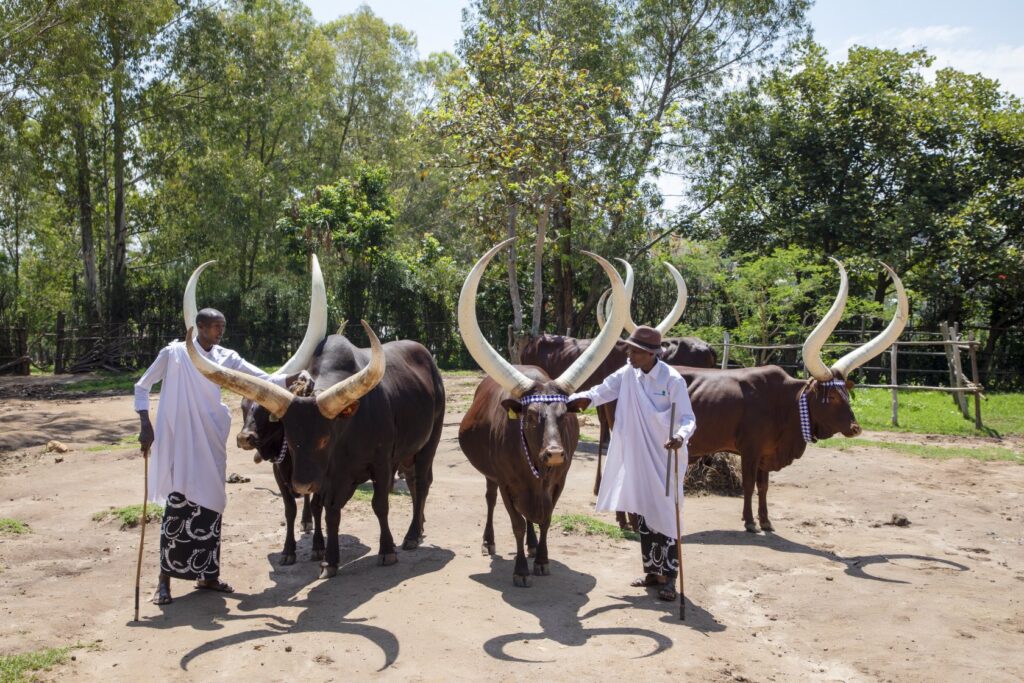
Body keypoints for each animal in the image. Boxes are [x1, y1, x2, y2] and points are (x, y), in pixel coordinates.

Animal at [186, 266, 442, 577]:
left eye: (324, 438)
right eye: (291, 438)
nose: (303, 484)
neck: (349, 429)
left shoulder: (381, 463)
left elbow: (379, 505)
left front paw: (387, 550)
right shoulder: (324, 474)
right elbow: (327, 512)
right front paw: (327, 559)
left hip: (429, 442)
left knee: (422, 482)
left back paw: (412, 535)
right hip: (406, 453)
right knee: (414, 484)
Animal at [458, 240, 630, 589]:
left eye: (565, 415)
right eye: (530, 416)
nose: (554, 454)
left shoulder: (557, 482)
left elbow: (546, 519)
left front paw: (541, 559)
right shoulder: (507, 483)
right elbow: (515, 522)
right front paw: (521, 569)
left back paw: (533, 544)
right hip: (490, 476)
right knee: (490, 499)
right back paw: (489, 542)